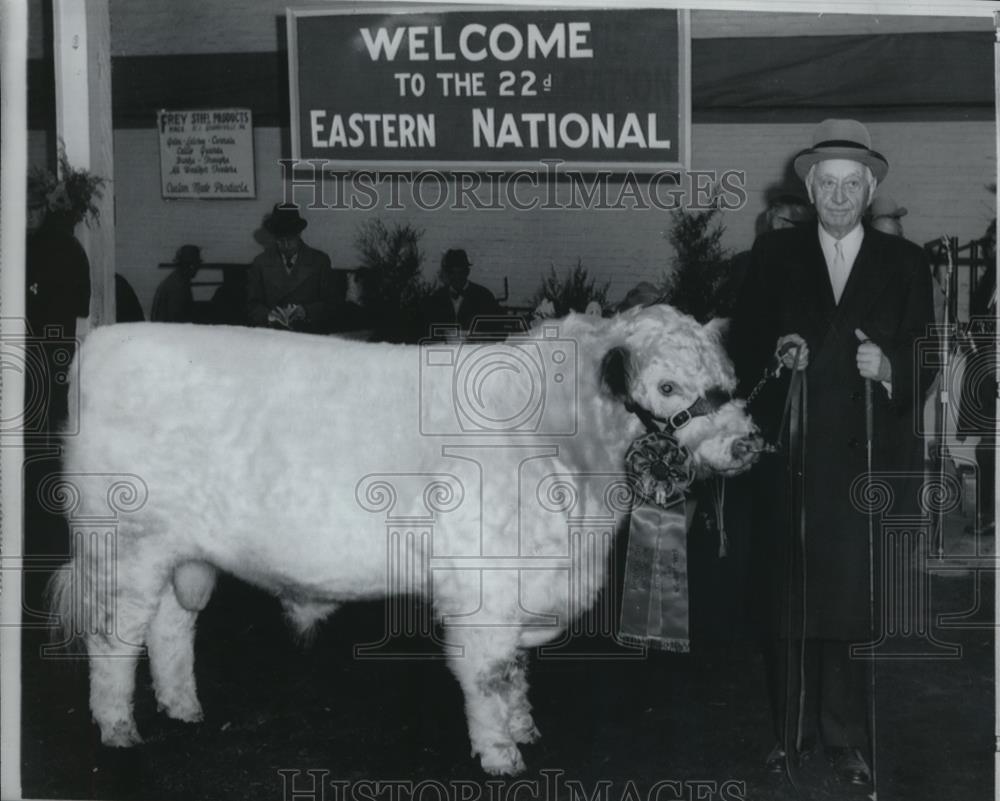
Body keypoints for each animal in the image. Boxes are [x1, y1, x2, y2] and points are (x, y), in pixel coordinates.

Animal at [48, 304, 756, 776]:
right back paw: (118, 727)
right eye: (666, 386)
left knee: (170, 629)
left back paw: (183, 708)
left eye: (726, 379)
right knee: (114, 638)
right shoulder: (486, 586)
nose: (745, 443)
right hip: (125, 548)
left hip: (180, 553)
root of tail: (103, 339)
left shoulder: (528, 583)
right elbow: (490, 671)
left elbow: (517, 670)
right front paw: (500, 754)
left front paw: (523, 727)